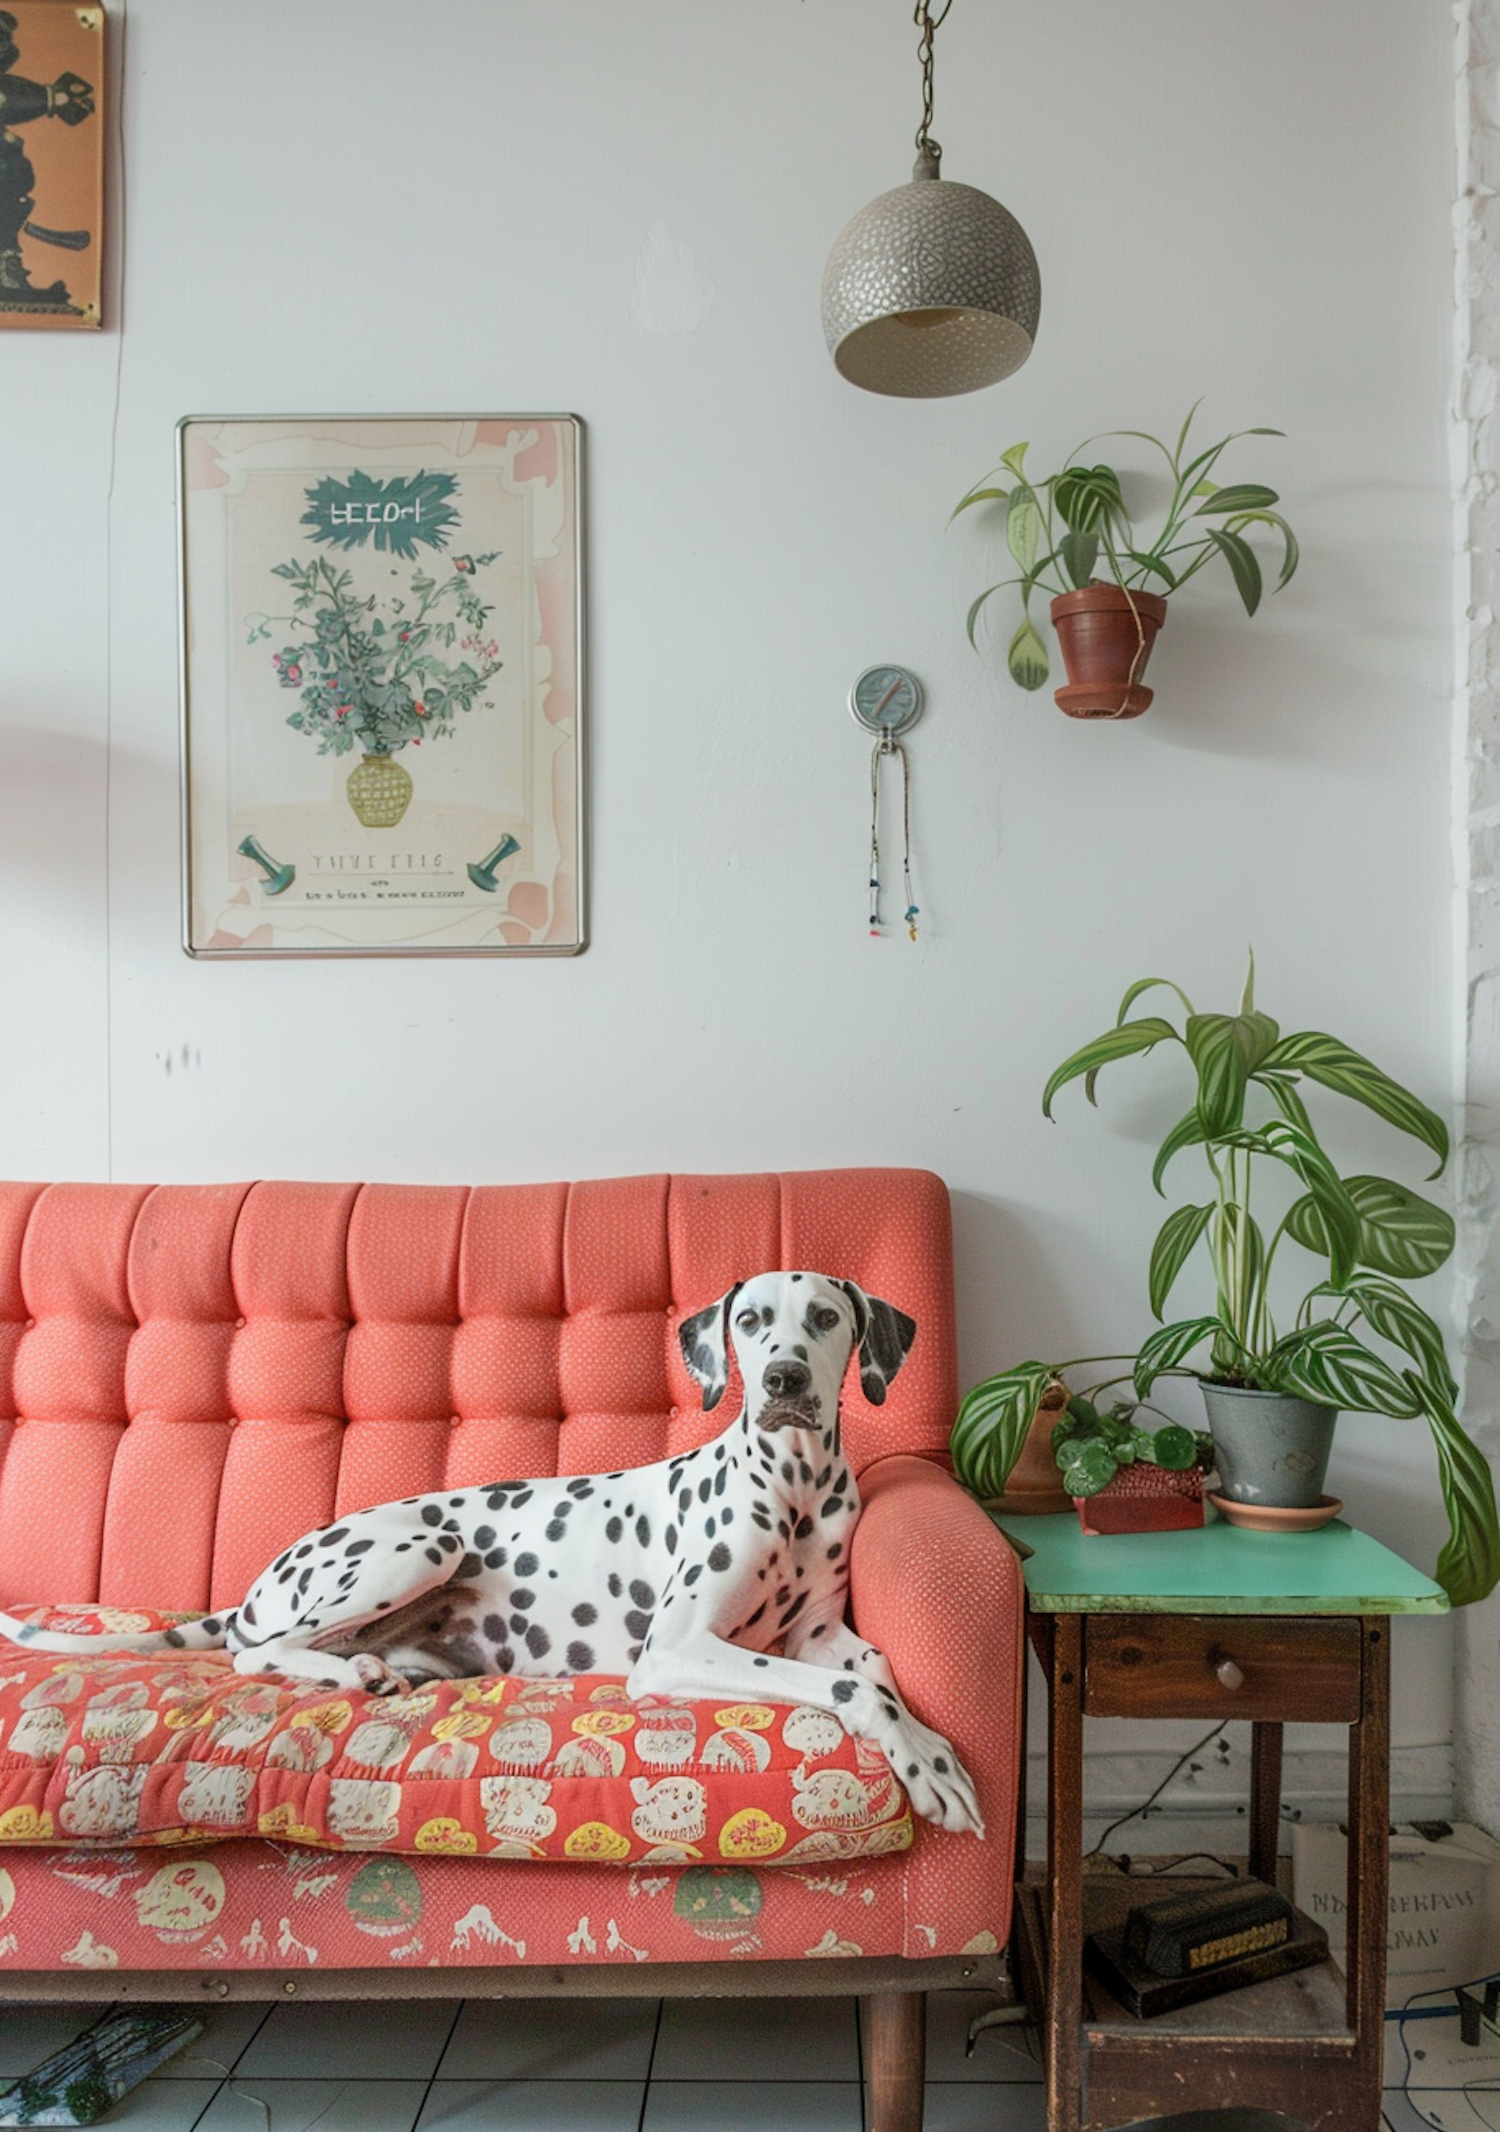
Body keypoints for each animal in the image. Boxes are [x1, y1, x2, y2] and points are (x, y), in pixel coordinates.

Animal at [0, 1262, 984, 1833]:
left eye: (824, 1318)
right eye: (750, 1321)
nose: (782, 1379)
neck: (793, 1486)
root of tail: (255, 1586)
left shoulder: (815, 1634)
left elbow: (879, 1671)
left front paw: (928, 1754)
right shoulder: (677, 1650)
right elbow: (857, 1689)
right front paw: (928, 1764)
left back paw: (377, 1669)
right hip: (418, 1546)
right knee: (256, 1651)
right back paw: (347, 1671)